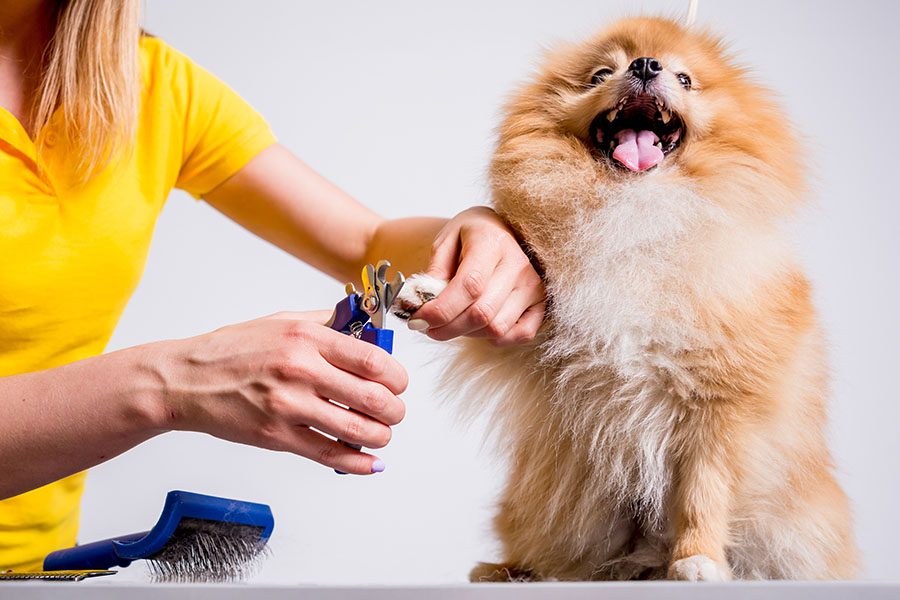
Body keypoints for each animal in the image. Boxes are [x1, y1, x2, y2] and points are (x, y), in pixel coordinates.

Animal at [390, 14, 856, 580]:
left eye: (684, 78)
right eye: (600, 74)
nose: (646, 65)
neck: (635, 215)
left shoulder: (722, 404)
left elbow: (704, 492)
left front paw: (698, 558)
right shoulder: (534, 338)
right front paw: (429, 289)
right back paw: (511, 570)